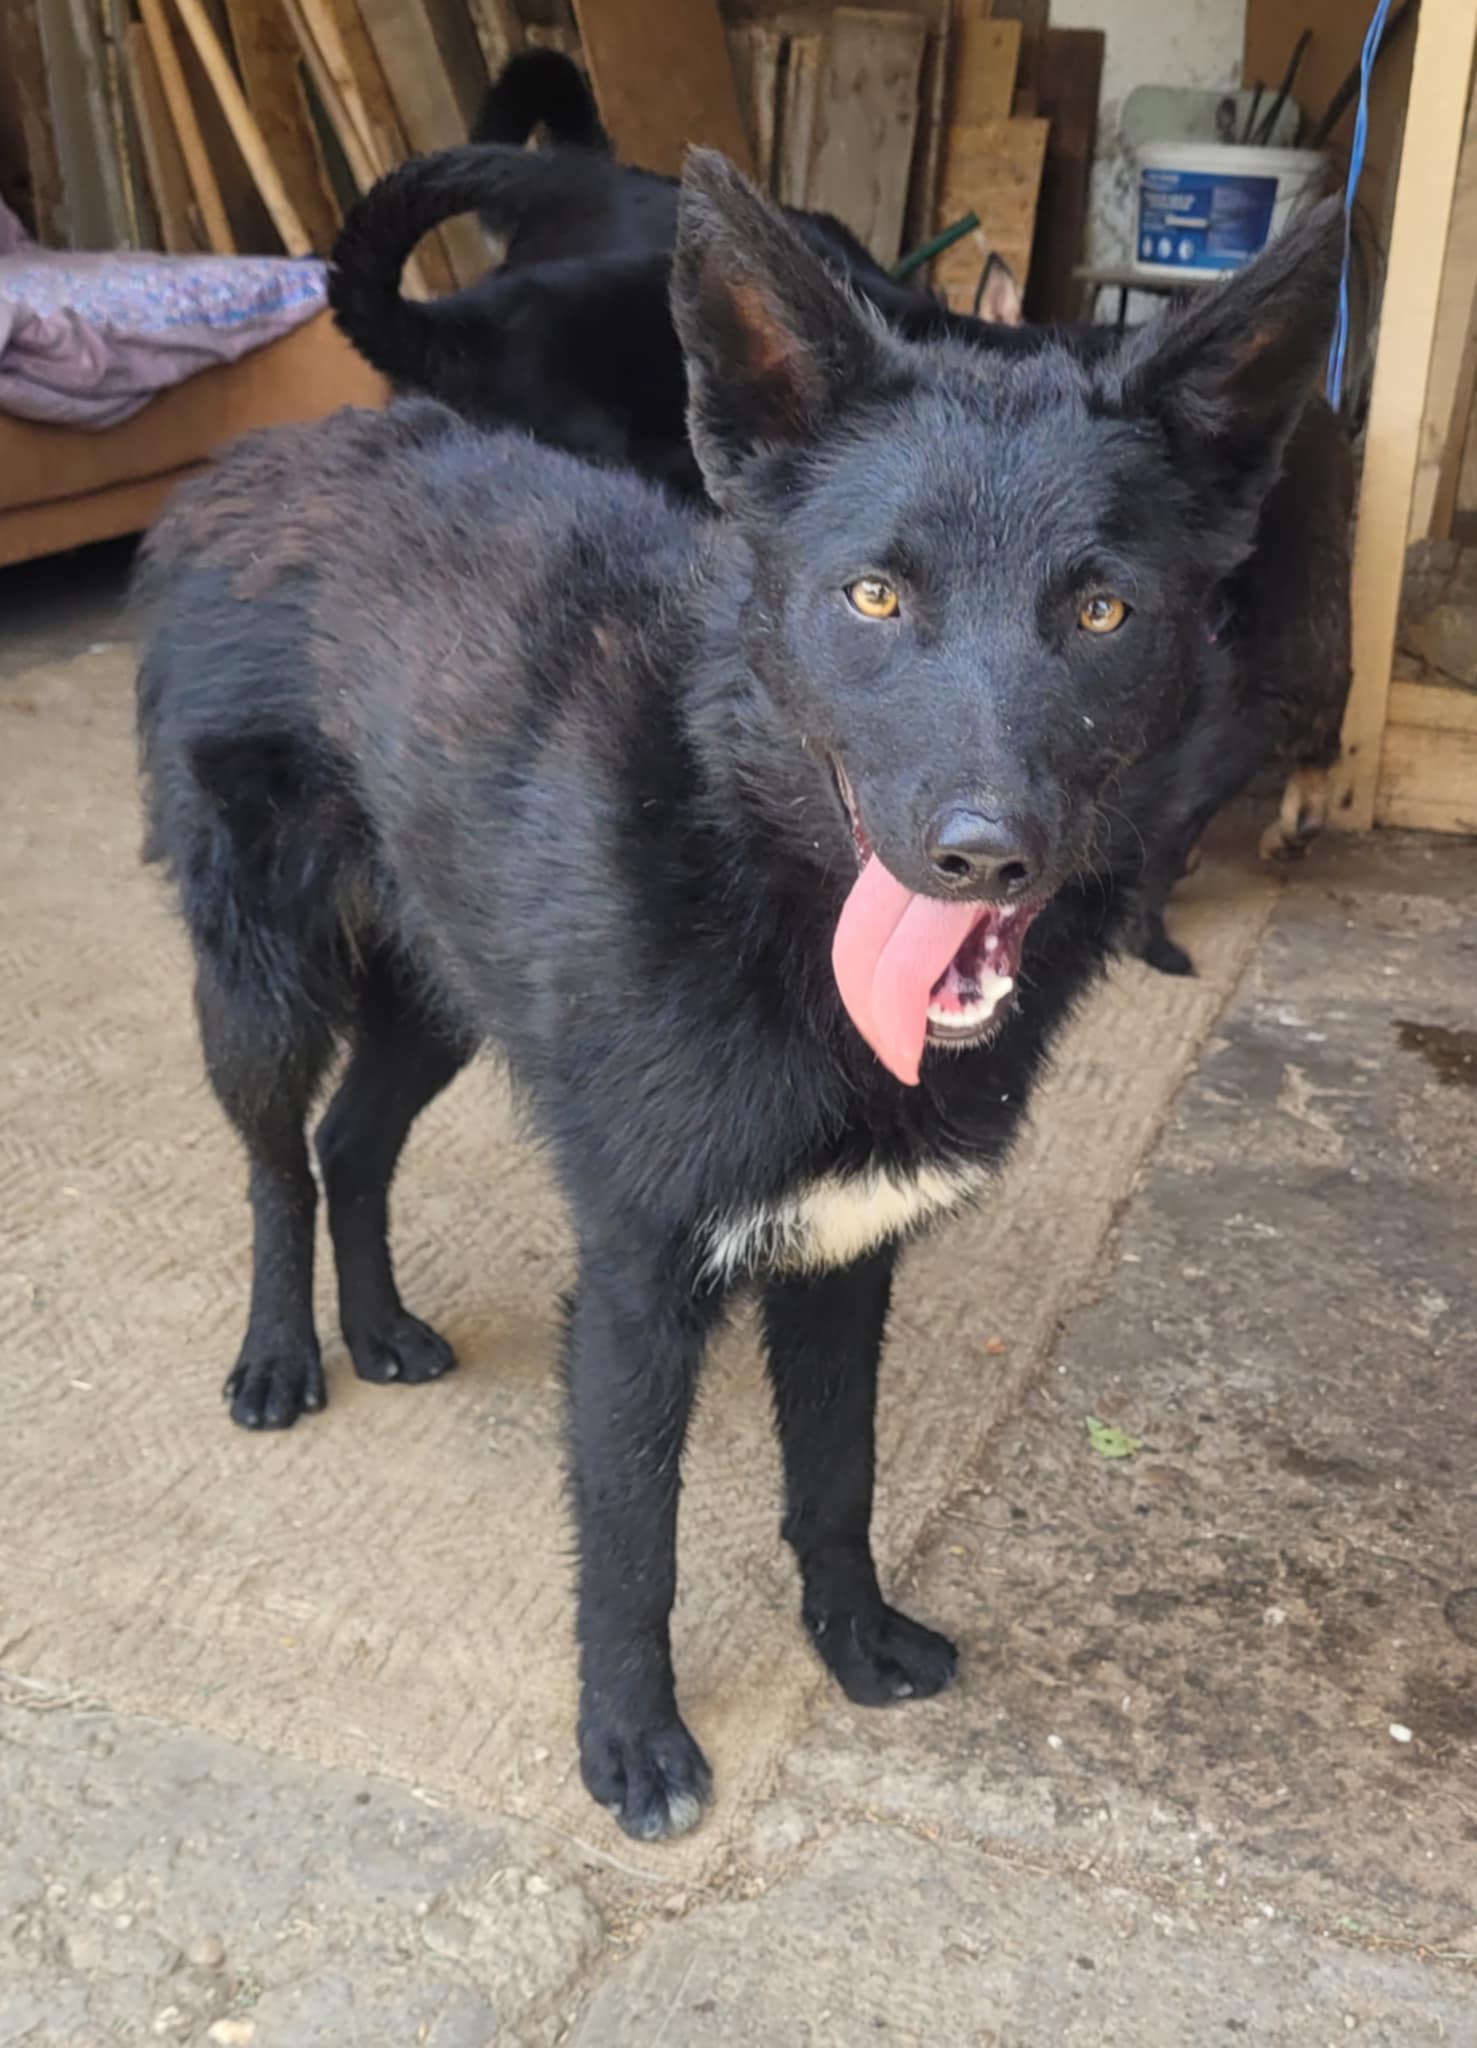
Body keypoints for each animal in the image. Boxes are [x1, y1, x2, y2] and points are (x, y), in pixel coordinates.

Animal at [137, 154, 1343, 1839]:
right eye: (873, 597)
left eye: (1102, 613)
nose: (984, 853)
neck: (751, 864)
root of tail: (258, 458)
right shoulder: (639, 1281)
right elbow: (630, 1543)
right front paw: (630, 1743)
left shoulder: (844, 1258)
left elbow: (836, 1479)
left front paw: (851, 1639)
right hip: (260, 982)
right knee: (271, 1161)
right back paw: (279, 1356)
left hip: (445, 994)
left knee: (350, 1144)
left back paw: (377, 1330)